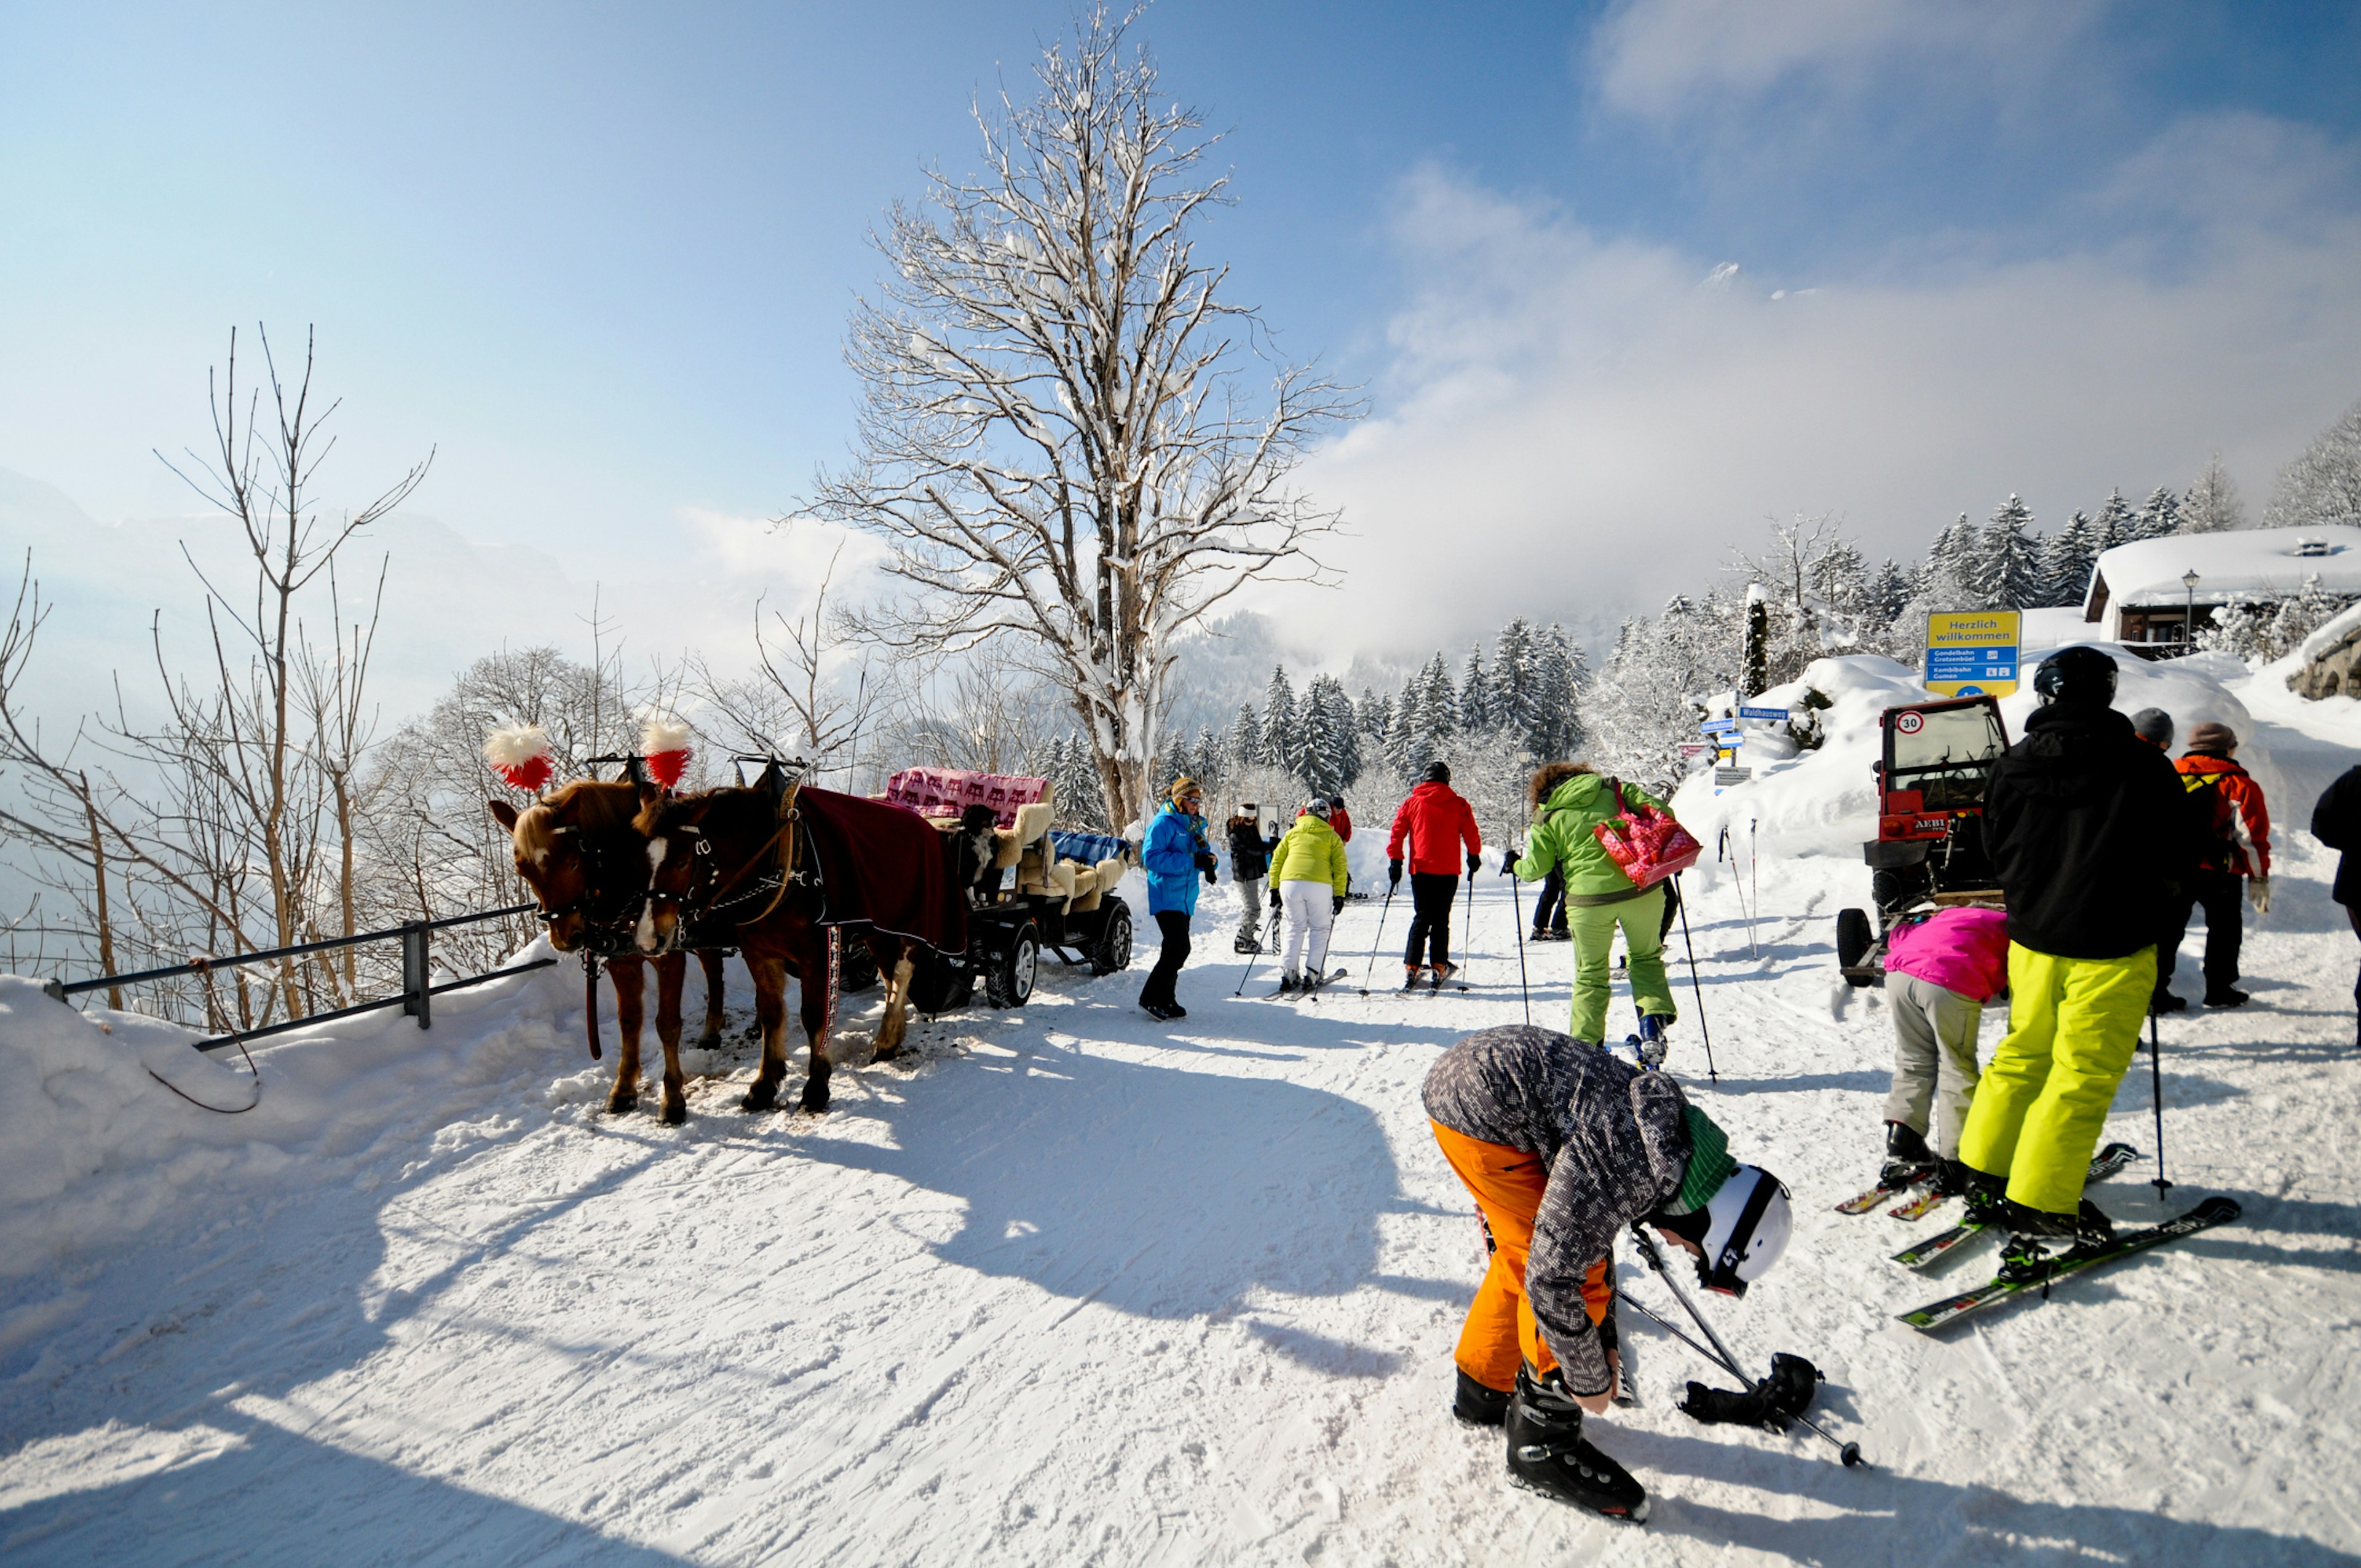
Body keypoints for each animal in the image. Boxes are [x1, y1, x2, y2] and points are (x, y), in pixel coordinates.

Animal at [488, 784, 727, 1129]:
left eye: (573, 862)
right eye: (523, 868)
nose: (566, 938)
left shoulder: (668, 955)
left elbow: (667, 1024)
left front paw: (672, 1099)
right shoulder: (621, 961)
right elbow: (629, 1020)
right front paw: (624, 1088)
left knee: (714, 965)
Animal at [633, 779, 925, 1109]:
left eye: (682, 862)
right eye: (638, 861)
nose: (648, 939)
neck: (772, 864)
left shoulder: (816, 954)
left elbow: (814, 1016)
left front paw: (816, 1086)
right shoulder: (758, 953)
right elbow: (771, 1014)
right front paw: (765, 1083)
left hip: (911, 922)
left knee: (902, 973)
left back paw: (887, 1036)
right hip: (877, 931)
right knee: (890, 978)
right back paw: (891, 1037)